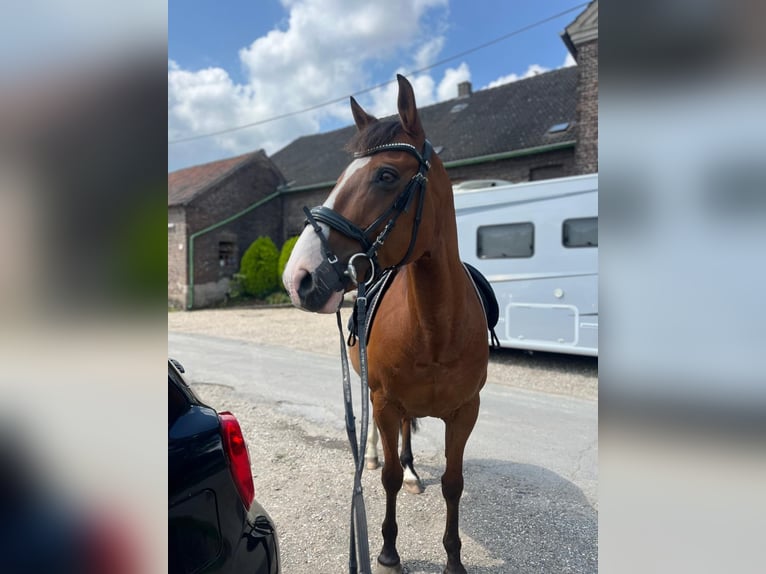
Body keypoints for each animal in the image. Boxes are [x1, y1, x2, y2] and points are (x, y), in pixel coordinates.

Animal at [284, 75, 492, 574]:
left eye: (385, 176)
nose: (298, 276)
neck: (437, 328)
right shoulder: (383, 401)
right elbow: (391, 480)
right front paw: (388, 551)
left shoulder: (466, 411)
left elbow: (453, 482)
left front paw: (453, 557)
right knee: (383, 444)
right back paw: (376, 457)